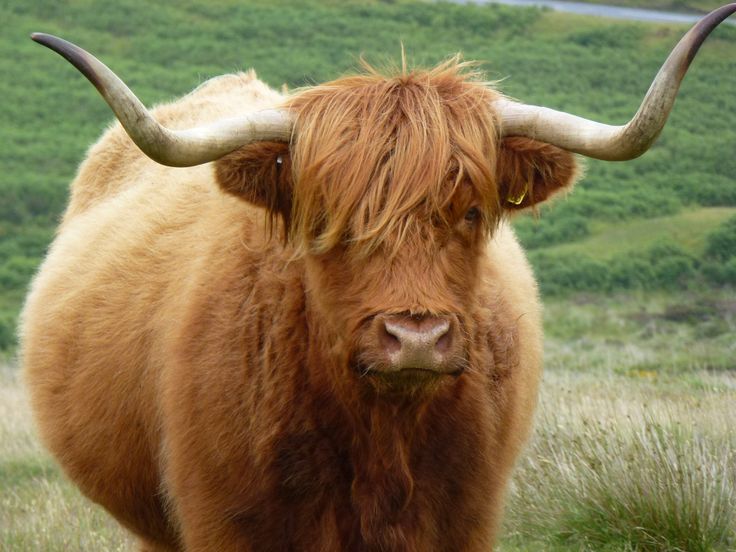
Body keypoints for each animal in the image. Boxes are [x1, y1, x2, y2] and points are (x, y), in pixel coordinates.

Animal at [20, 5, 736, 552]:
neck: (381, 437)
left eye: (471, 211)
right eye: (324, 220)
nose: (415, 338)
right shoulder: (225, 522)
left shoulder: (465, 518)